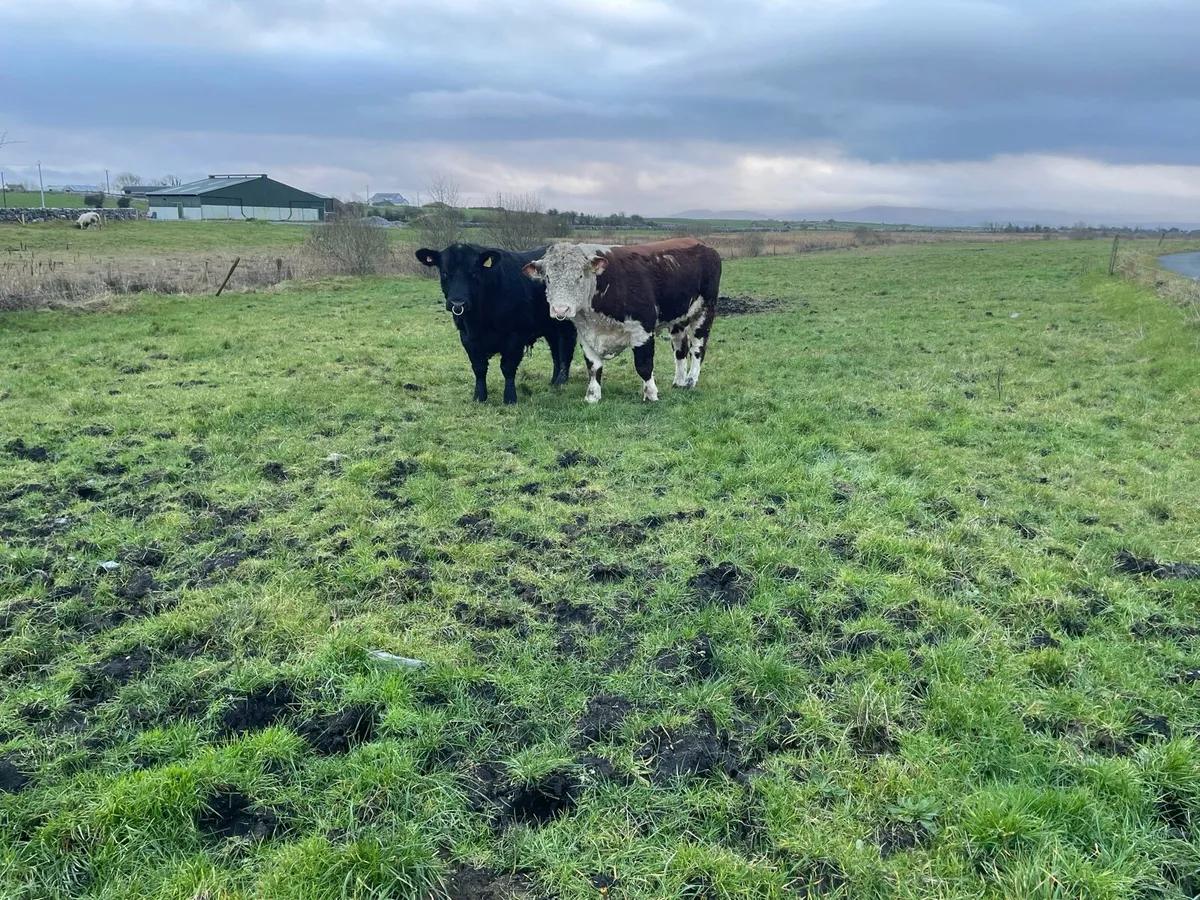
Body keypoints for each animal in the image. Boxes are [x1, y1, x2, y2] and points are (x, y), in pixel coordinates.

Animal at [415, 243, 576, 404]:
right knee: (556, 352)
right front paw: (479, 397)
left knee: (566, 351)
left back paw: (561, 381)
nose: (458, 303)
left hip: (566, 324)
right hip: (550, 328)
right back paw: (554, 381)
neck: (479, 321)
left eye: (474, 273)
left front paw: (510, 398)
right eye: (444, 273)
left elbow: (508, 367)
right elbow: (479, 368)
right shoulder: (466, 337)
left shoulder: (516, 336)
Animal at [522, 238, 721, 403]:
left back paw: (690, 381)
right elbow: (593, 367)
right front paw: (592, 396)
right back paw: (679, 381)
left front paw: (651, 395)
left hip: (705, 310)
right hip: (677, 319)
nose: (560, 309)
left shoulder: (642, 330)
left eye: (579, 276)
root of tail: (702, 244)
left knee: (697, 349)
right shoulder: (586, 334)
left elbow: (644, 365)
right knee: (680, 349)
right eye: (548, 277)